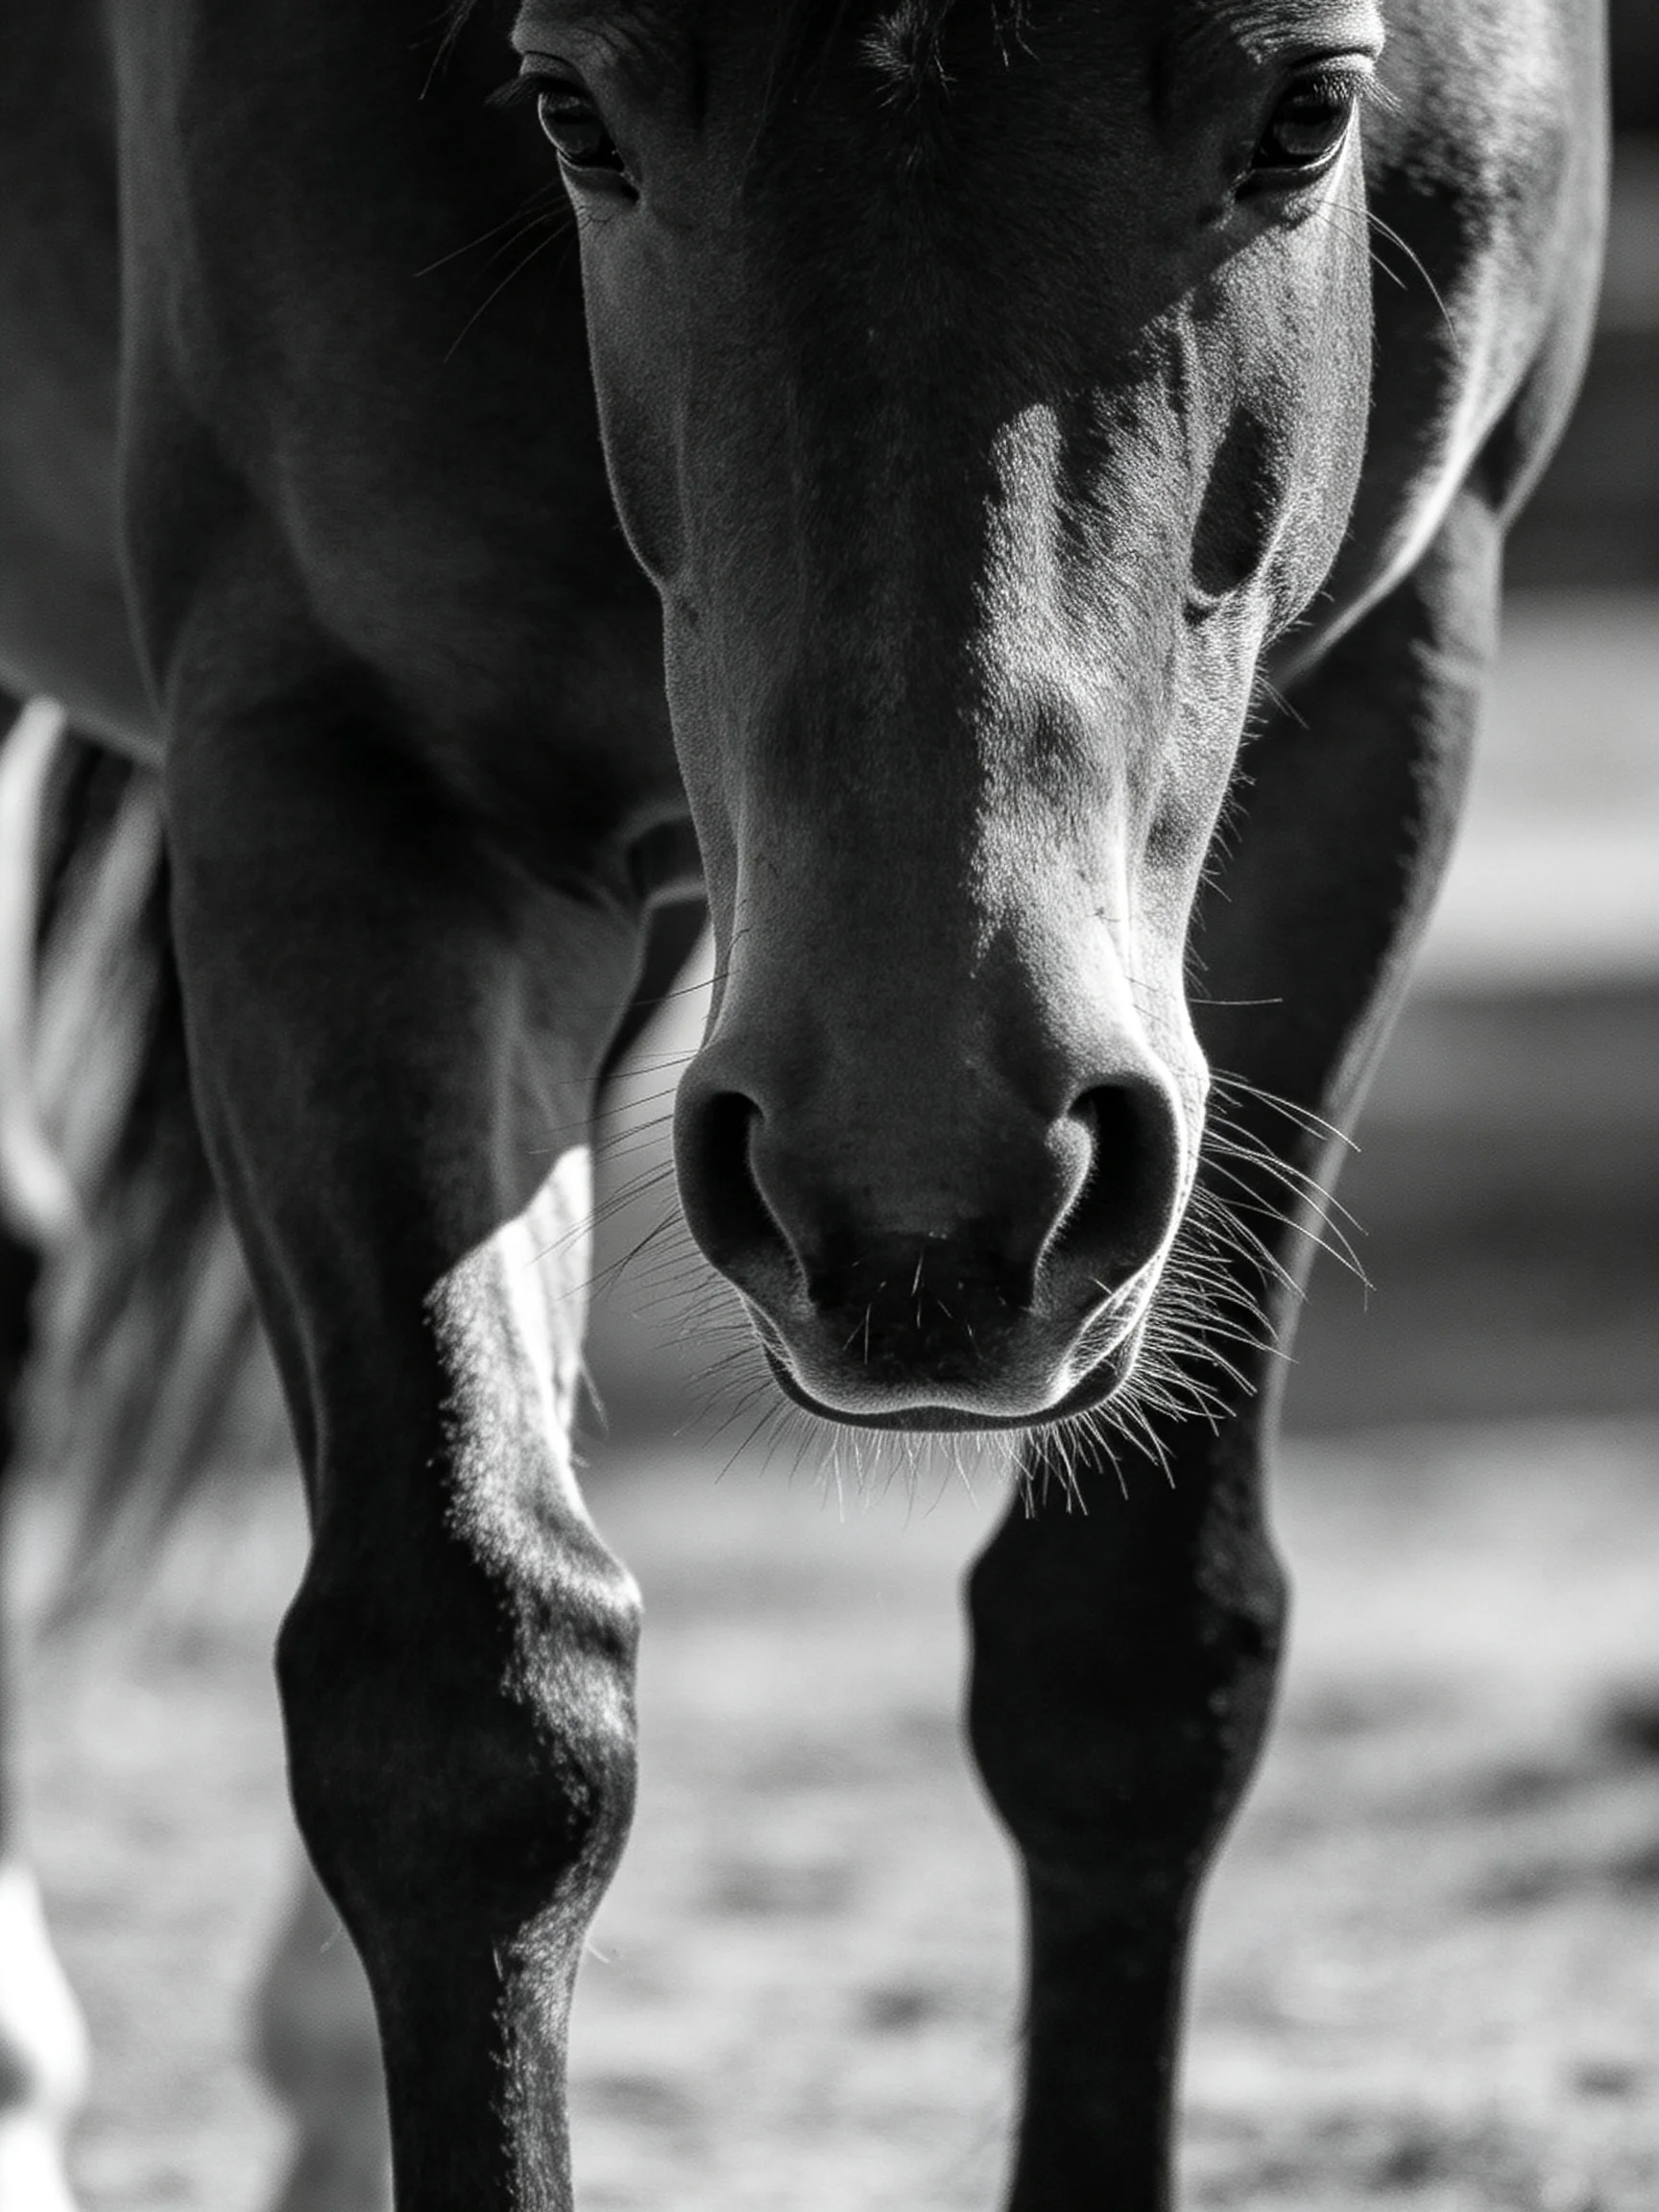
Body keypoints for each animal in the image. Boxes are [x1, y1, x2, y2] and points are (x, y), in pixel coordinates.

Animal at [0, 0, 1607, 2206]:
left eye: (1306, 112)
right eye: (574, 110)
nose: (927, 1206)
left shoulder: (1384, 685)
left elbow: (1125, 1659)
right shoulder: (343, 769)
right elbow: (467, 1712)